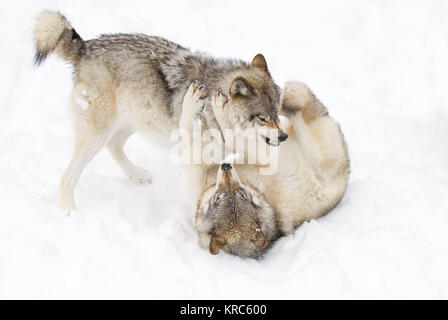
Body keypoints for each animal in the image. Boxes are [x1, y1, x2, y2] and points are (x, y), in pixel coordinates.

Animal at [32, 11, 288, 211]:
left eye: (277, 114)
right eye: (263, 118)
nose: (284, 136)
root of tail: (86, 48)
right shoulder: (194, 160)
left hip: (135, 120)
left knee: (113, 146)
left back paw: (137, 174)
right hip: (98, 133)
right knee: (67, 177)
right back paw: (70, 213)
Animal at [182, 82, 350, 258]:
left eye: (242, 196)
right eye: (218, 198)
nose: (226, 166)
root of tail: (347, 170)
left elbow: (191, 132)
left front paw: (198, 101)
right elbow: (194, 135)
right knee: (297, 112)